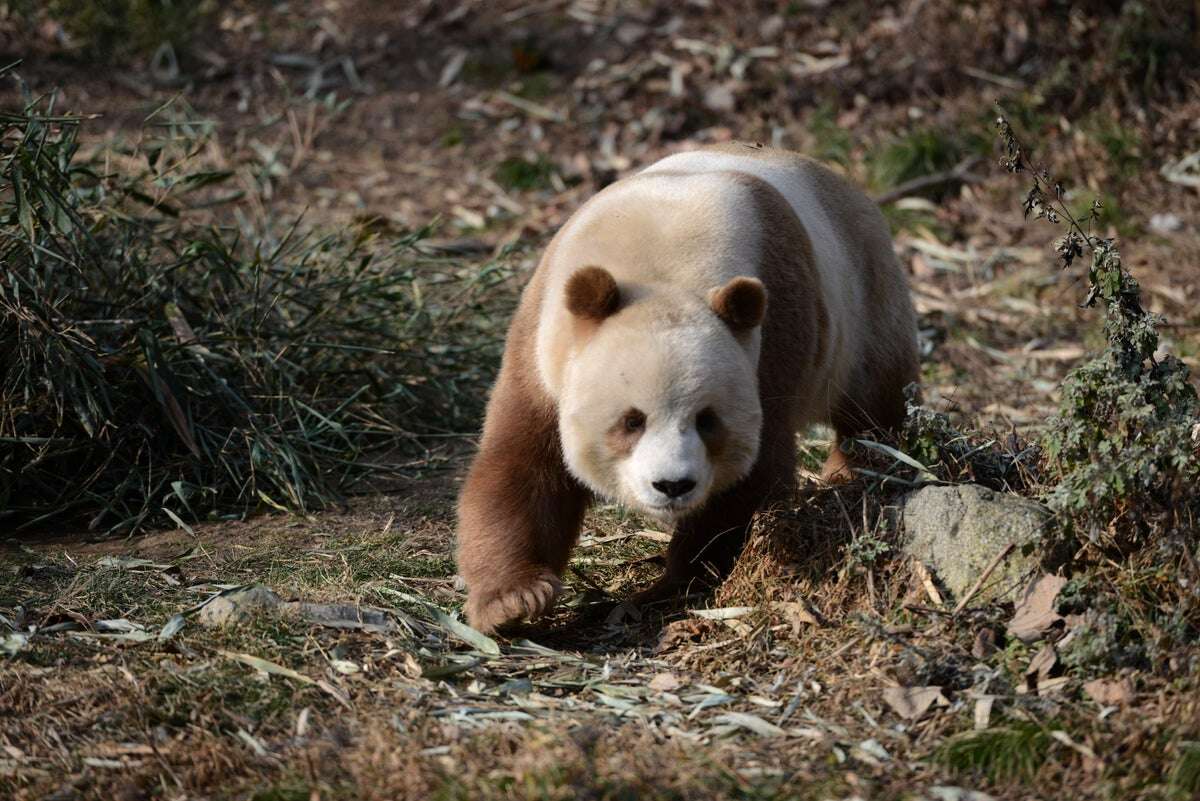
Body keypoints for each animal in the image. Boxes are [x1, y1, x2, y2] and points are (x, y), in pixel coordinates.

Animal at [453, 142, 912, 633]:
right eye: (631, 421)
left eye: (706, 421)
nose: (672, 485)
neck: (661, 267)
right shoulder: (545, 337)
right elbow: (524, 463)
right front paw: (513, 600)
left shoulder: (770, 334)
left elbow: (752, 472)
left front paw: (677, 581)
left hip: (862, 296)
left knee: (873, 404)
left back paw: (856, 471)